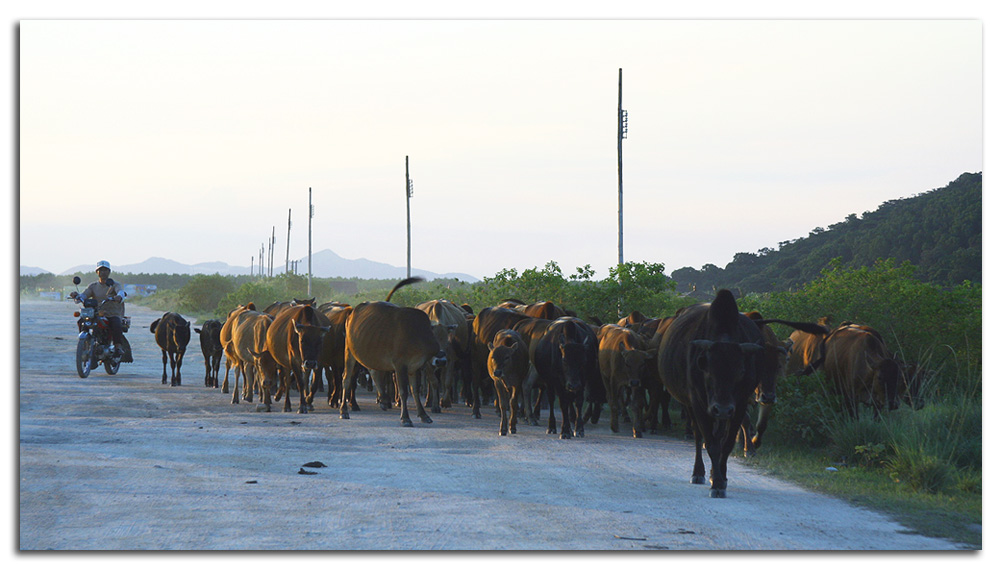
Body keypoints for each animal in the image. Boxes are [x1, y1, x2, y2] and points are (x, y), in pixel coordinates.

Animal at [344, 278, 446, 424]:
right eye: (435, 333)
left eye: (449, 337)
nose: (441, 359)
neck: (419, 336)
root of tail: (352, 313)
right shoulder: (400, 366)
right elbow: (404, 391)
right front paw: (405, 418)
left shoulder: (414, 368)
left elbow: (414, 391)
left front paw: (423, 415)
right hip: (349, 352)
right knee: (346, 379)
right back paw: (344, 411)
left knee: (374, 372)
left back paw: (383, 400)